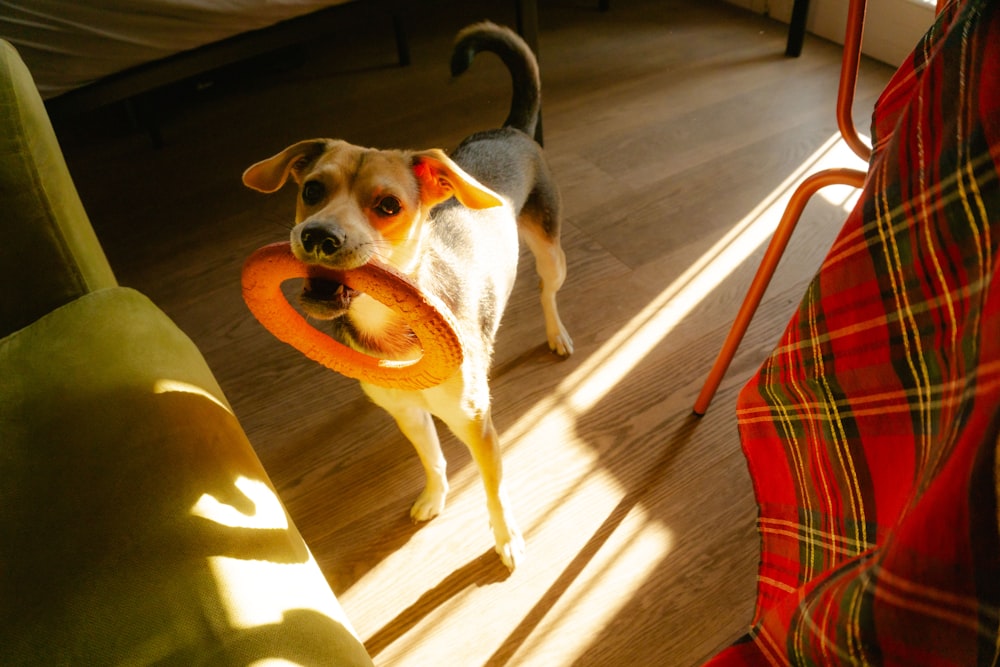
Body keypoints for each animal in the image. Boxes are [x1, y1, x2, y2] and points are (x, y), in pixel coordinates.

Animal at [241, 22, 572, 576]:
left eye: (389, 206)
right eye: (311, 190)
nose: (317, 236)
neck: (387, 324)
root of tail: (508, 132)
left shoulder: (476, 424)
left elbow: (494, 489)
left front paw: (507, 540)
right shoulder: (409, 415)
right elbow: (432, 459)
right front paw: (433, 499)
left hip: (550, 248)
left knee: (548, 294)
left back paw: (557, 335)